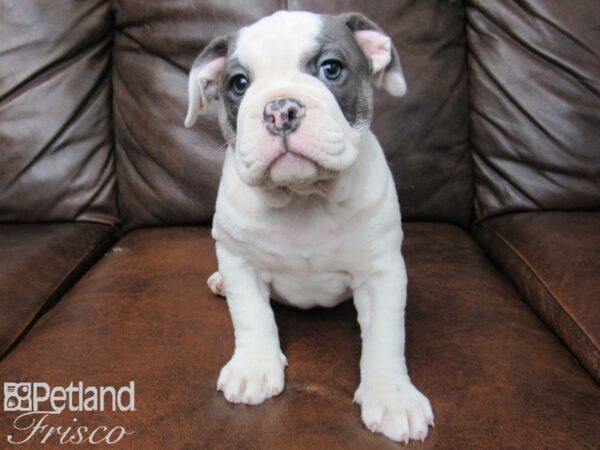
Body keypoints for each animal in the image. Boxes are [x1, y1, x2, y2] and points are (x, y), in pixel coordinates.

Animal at [185, 9, 434, 442]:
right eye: (238, 84)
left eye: (330, 69)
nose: (280, 110)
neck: (302, 198)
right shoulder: (239, 261)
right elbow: (252, 315)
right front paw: (254, 367)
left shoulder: (381, 273)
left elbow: (386, 336)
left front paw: (392, 396)